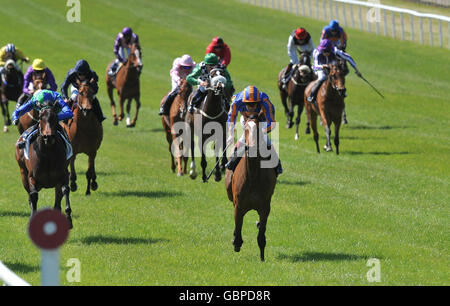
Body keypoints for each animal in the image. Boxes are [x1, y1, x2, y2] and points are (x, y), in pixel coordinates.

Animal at [225, 113, 278, 262]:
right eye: (246, 129)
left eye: (259, 129)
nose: (252, 147)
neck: (253, 175)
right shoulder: (239, 206)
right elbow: (238, 228)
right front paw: (236, 242)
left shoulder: (265, 207)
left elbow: (261, 236)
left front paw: (262, 257)